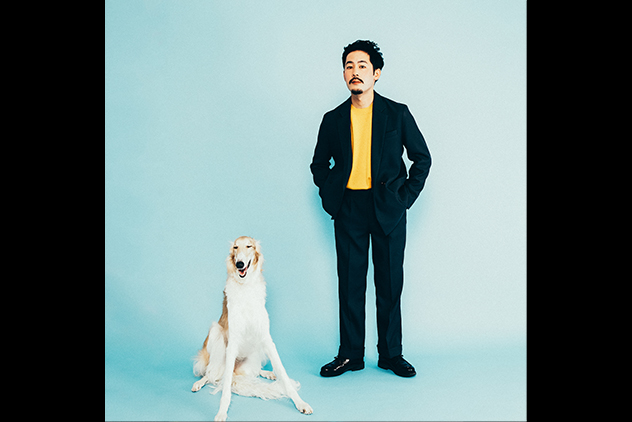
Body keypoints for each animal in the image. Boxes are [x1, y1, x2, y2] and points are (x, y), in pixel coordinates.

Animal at [192, 236, 313, 421]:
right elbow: (225, 389)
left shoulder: (266, 338)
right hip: (215, 334)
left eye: (249, 246)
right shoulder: (233, 340)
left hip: (256, 352)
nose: (240, 264)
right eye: (235, 247)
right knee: (212, 374)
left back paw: (268, 373)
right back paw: (200, 382)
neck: (245, 286)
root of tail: (237, 372)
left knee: (253, 372)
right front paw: (222, 411)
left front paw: (300, 403)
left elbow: (283, 373)